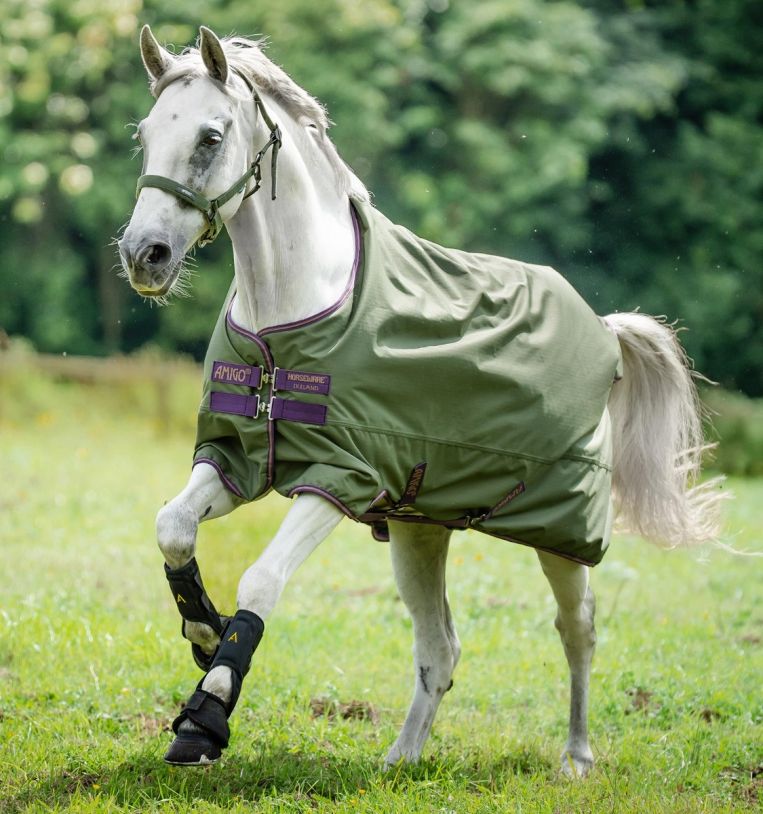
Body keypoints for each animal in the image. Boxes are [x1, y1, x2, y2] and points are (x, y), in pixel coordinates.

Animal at [118, 25, 723, 772]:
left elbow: (261, 580)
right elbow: (172, 526)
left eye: (209, 136)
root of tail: (605, 331)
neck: (290, 315)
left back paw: (576, 759)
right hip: (418, 528)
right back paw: (401, 758)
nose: (144, 254)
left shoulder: (338, 478)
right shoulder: (239, 459)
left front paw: (206, 716)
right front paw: (204, 632)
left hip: (564, 532)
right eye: (145, 136)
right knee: (440, 647)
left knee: (576, 628)